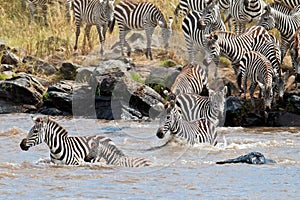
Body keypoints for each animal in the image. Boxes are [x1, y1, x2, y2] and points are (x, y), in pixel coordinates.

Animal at [19, 115, 151, 167]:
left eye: (35, 131)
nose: (21, 144)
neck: (56, 148)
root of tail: (106, 137)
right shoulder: (55, 163)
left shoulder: (76, 162)